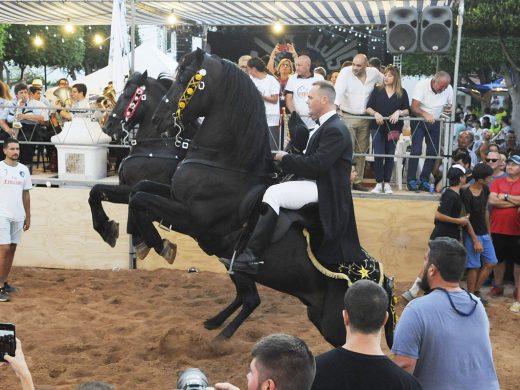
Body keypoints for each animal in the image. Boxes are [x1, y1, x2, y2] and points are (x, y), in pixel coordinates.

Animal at [131, 49, 398, 348]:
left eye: (185, 78)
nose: (158, 120)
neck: (225, 164)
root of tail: (382, 281)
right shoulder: (176, 199)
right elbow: (139, 189)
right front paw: (143, 243)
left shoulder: (193, 218)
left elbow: (139, 198)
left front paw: (157, 244)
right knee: (249, 298)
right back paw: (216, 326)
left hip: (334, 324)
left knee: (254, 300)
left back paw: (221, 335)